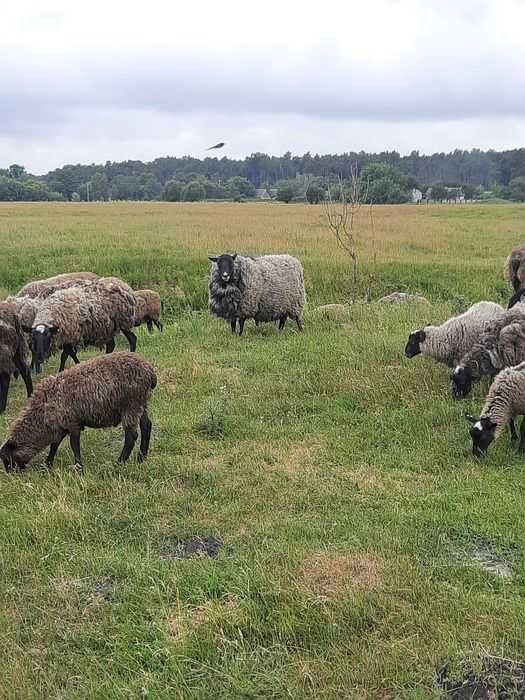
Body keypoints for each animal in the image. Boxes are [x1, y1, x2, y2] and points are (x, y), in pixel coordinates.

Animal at [0, 352, 156, 474]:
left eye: (8, 459)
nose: (11, 474)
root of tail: (150, 371)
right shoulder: (61, 426)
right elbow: (55, 445)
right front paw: (48, 464)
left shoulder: (72, 423)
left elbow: (74, 446)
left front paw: (78, 468)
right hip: (141, 404)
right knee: (146, 426)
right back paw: (141, 458)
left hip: (131, 405)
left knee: (131, 436)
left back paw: (119, 463)